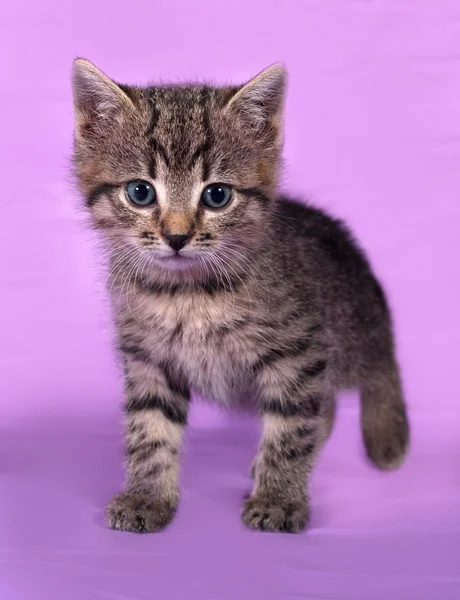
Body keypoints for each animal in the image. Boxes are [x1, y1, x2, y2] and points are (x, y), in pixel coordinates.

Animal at [70, 58, 408, 532]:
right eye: (140, 192)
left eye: (217, 195)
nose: (177, 237)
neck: (188, 294)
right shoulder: (148, 357)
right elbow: (149, 429)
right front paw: (147, 497)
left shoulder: (299, 351)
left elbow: (291, 428)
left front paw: (278, 499)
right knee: (328, 407)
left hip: (354, 325)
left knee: (379, 362)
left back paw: (388, 435)